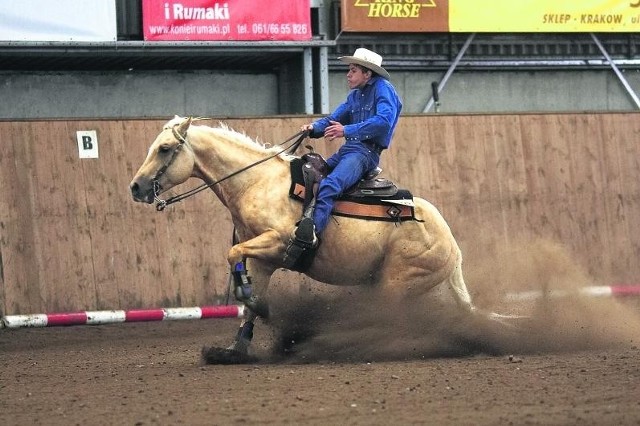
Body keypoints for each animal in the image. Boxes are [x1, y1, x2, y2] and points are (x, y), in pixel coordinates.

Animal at [132, 116, 512, 362]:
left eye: (164, 148)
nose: (136, 187)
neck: (257, 182)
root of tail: (452, 246)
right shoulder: (264, 260)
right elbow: (246, 285)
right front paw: (235, 346)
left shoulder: (279, 241)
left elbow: (232, 252)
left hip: (397, 283)